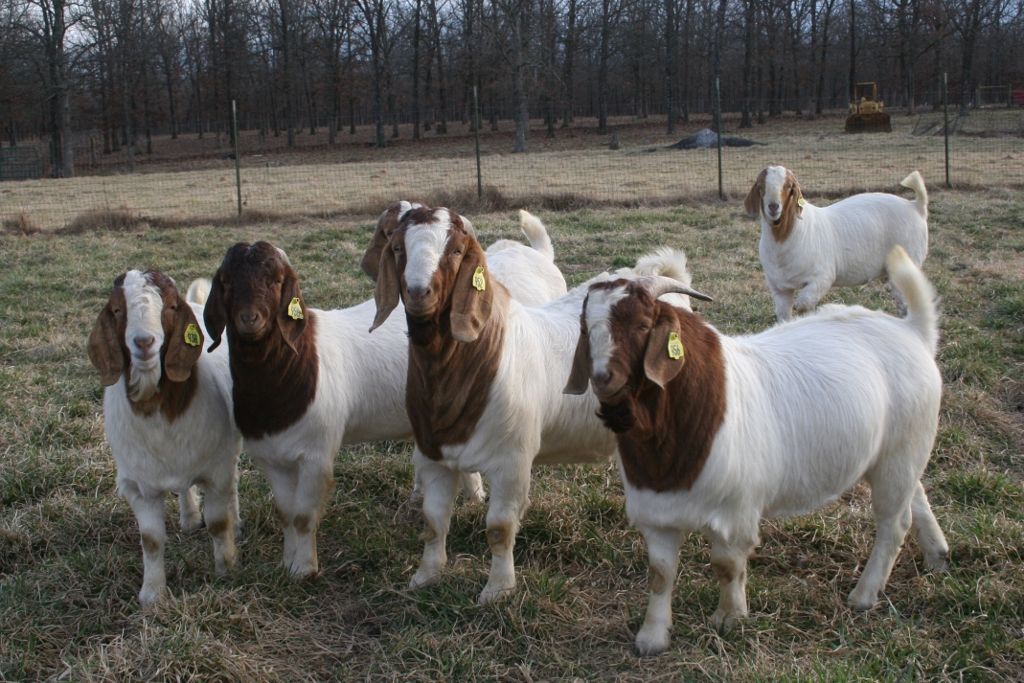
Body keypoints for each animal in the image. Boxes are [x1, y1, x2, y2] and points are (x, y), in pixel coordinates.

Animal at [88, 270, 241, 606]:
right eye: (117, 310)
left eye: (170, 307)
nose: (144, 342)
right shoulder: (138, 485)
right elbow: (151, 540)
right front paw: (152, 594)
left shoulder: (216, 468)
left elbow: (218, 523)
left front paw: (226, 569)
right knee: (184, 487)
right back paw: (189, 517)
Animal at [203, 214, 565, 579]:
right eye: (225, 281)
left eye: (277, 280)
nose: (250, 319)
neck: (299, 363)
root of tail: (537, 255)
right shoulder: (272, 456)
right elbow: (286, 515)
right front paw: (288, 566)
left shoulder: (316, 454)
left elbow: (304, 517)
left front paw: (304, 570)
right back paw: (473, 494)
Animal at [369, 205, 709, 603]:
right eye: (397, 248)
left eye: (455, 251)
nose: (419, 291)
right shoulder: (433, 455)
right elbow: (434, 521)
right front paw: (425, 577)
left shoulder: (512, 461)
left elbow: (499, 528)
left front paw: (497, 591)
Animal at [565, 245, 949, 655]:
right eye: (586, 328)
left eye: (641, 325)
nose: (603, 379)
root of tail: (912, 330)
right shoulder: (656, 512)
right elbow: (660, 573)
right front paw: (652, 637)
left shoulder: (735, 513)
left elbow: (726, 566)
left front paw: (729, 619)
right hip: (901, 453)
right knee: (916, 496)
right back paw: (937, 555)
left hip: (899, 454)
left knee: (893, 523)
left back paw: (863, 595)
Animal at [746, 165, 929, 321]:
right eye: (760, 186)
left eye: (789, 186)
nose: (773, 207)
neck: (784, 236)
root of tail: (916, 206)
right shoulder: (779, 288)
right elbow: (784, 315)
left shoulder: (821, 278)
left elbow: (803, 305)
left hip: (909, 259)